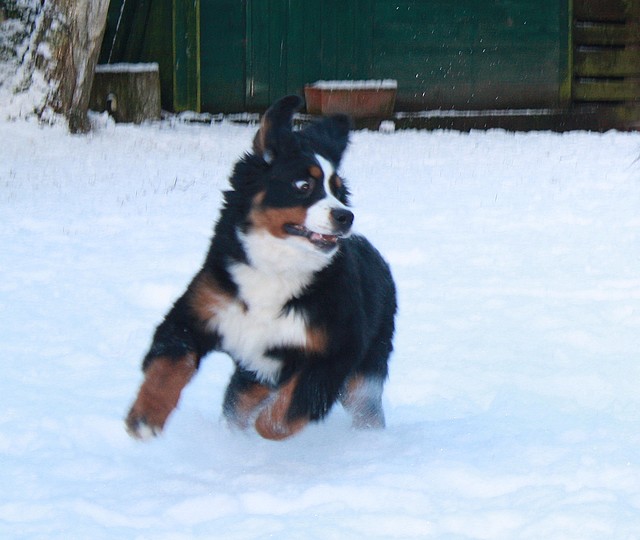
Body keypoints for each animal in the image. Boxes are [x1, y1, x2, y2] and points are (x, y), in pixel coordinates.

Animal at [125, 95, 396, 440]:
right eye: (303, 184)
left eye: (338, 190)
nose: (345, 216)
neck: (276, 268)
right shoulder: (195, 313)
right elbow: (171, 363)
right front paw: (146, 416)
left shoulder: (337, 350)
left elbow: (288, 410)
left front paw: (265, 427)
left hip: (365, 372)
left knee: (364, 410)